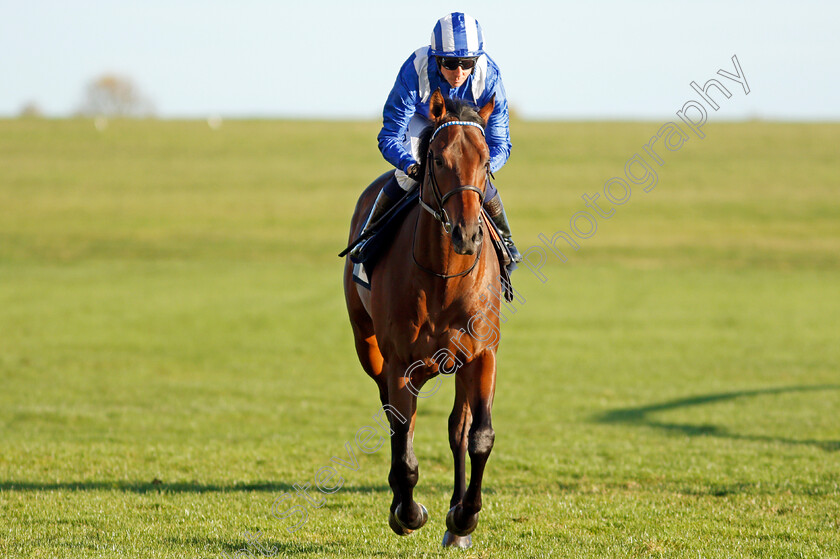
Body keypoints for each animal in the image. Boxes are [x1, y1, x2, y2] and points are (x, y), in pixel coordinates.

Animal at [342, 89, 498, 548]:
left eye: (486, 159)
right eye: (439, 160)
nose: (467, 233)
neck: (443, 277)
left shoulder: (481, 356)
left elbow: (478, 436)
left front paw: (464, 518)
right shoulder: (399, 364)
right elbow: (402, 439)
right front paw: (407, 512)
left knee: (457, 428)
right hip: (368, 347)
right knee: (396, 422)